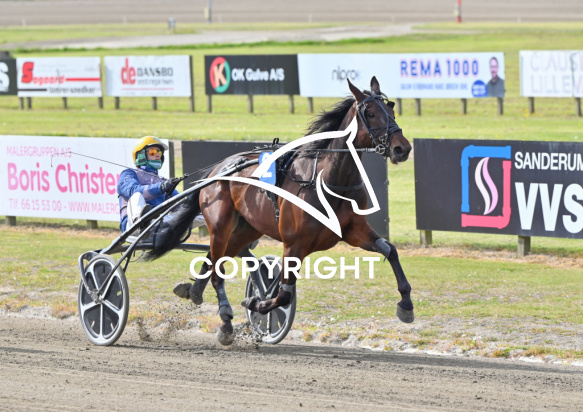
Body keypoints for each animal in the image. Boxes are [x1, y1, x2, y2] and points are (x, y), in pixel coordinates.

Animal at [148, 76, 413, 345]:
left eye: (391, 110)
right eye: (370, 113)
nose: (402, 148)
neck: (327, 179)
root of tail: (218, 170)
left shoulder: (353, 231)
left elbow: (390, 251)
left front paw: (406, 304)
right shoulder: (294, 244)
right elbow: (283, 295)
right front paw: (256, 303)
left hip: (246, 230)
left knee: (214, 258)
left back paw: (194, 291)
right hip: (221, 225)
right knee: (217, 271)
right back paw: (225, 321)